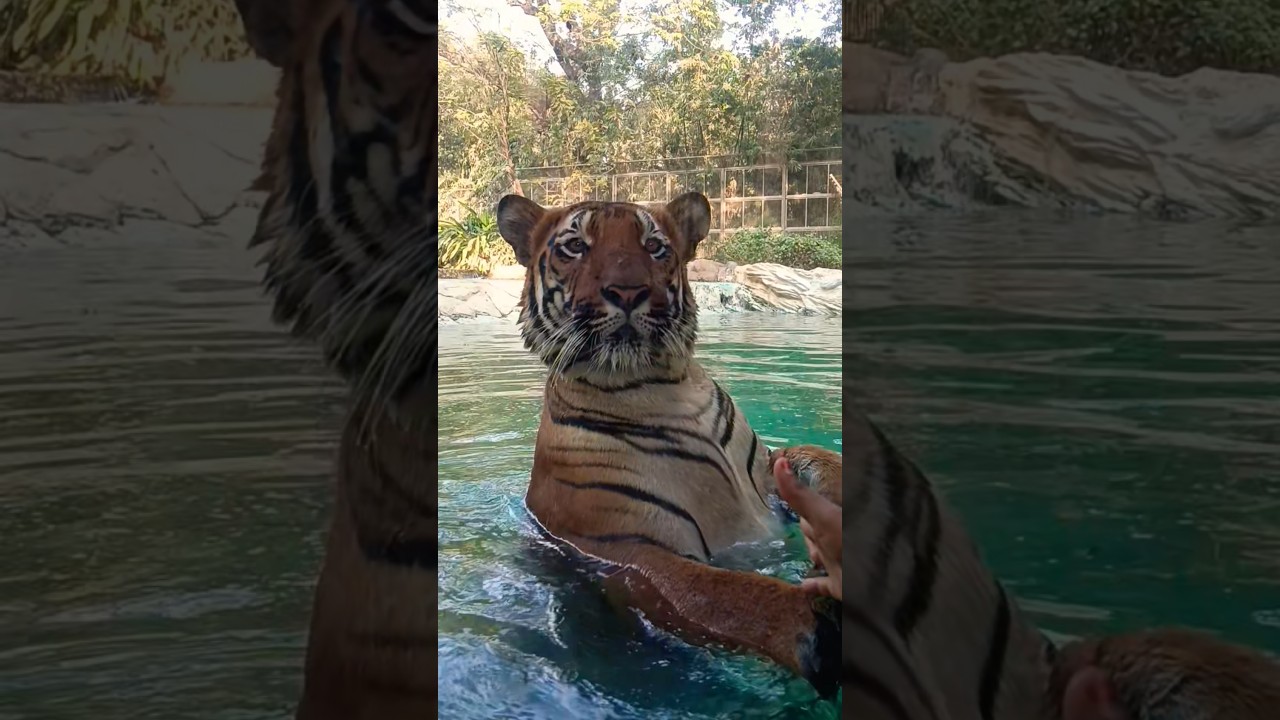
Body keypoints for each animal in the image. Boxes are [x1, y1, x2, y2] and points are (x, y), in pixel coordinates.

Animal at [494, 191, 843, 697]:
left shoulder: (766, 468)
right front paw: (818, 623)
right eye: (575, 246)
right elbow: (716, 592)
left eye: (655, 246)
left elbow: (811, 456)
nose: (627, 291)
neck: (661, 388)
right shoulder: (625, 551)